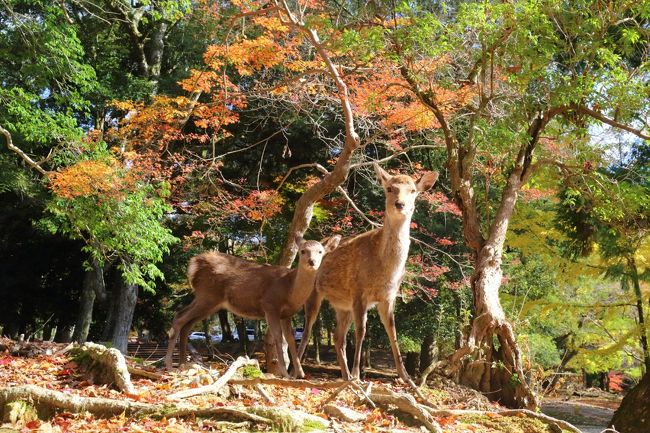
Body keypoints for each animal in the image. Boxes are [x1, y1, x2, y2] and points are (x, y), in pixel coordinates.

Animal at [163, 235, 340, 376]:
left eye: (320, 252)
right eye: (303, 251)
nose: (312, 262)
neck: (290, 290)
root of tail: (194, 264)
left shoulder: (287, 314)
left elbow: (290, 339)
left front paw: (300, 373)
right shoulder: (270, 305)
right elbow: (278, 337)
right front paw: (284, 373)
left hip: (210, 302)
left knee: (187, 324)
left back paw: (183, 364)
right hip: (207, 295)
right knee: (179, 318)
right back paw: (169, 365)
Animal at [298, 165, 438, 382]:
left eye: (413, 191)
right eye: (389, 188)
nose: (400, 204)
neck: (385, 271)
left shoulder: (389, 297)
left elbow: (392, 331)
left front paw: (407, 378)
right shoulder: (358, 291)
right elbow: (362, 331)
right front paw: (358, 374)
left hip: (342, 305)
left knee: (337, 337)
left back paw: (345, 376)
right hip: (314, 293)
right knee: (307, 330)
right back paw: (296, 371)